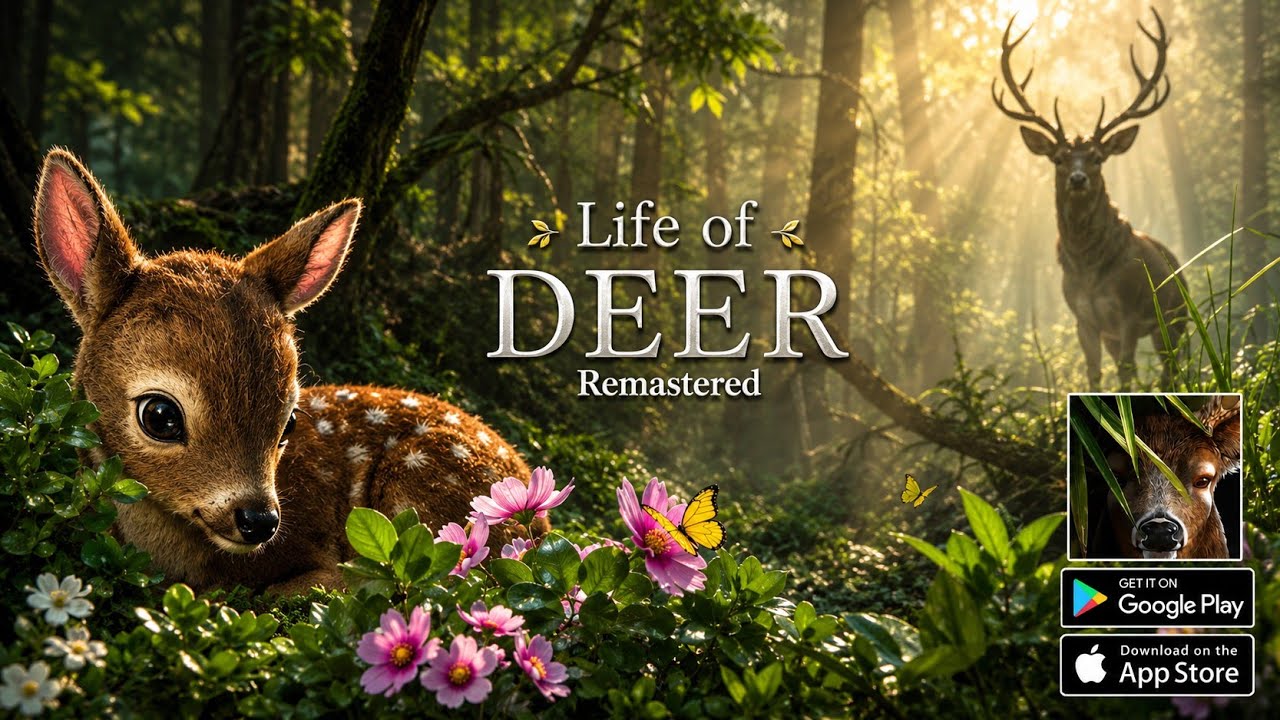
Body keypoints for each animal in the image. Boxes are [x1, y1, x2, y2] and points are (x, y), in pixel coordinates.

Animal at [993, 8, 1185, 390]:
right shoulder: (1084, 319)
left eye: (1097, 157)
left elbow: (1125, 372)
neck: (1090, 271)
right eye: (1058, 158)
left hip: (1175, 320)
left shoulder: (1129, 311)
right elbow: (1093, 373)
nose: (1078, 179)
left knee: (1174, 370)